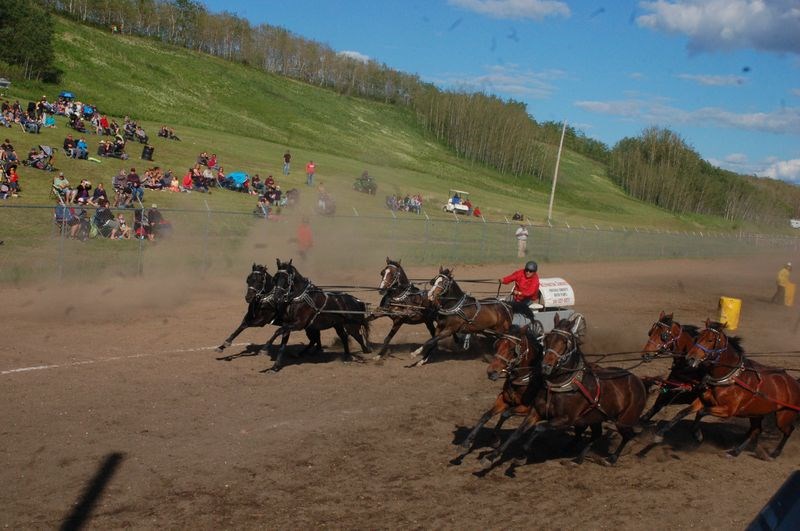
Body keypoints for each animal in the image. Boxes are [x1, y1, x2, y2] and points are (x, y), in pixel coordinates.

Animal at [482, 314, 644, 468]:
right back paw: (576, 459)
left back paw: (611, 458)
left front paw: (520, 454)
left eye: (565, 342)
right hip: (595, 417)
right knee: (596, 435)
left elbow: (536, 427)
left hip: (623, 421)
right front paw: (492, 454)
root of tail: (637, 380)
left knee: (627, 435)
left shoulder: (562, 418)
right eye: (547, 339)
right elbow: (513, 429)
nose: (545, 366)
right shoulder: (532, 410)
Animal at [656, 322, 800, 460]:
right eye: (697, 338)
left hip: (783, 416)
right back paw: (735, 452)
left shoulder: (727, 411)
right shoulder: (703, 401)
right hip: (756, 413)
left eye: (710, 340)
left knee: (788, 430)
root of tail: (794, 383)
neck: (728, 378)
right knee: (756, 430)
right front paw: (660, 433)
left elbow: (701, 412)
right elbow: (684, 412)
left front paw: (697, 434)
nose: (690, 358)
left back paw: (774, 453)